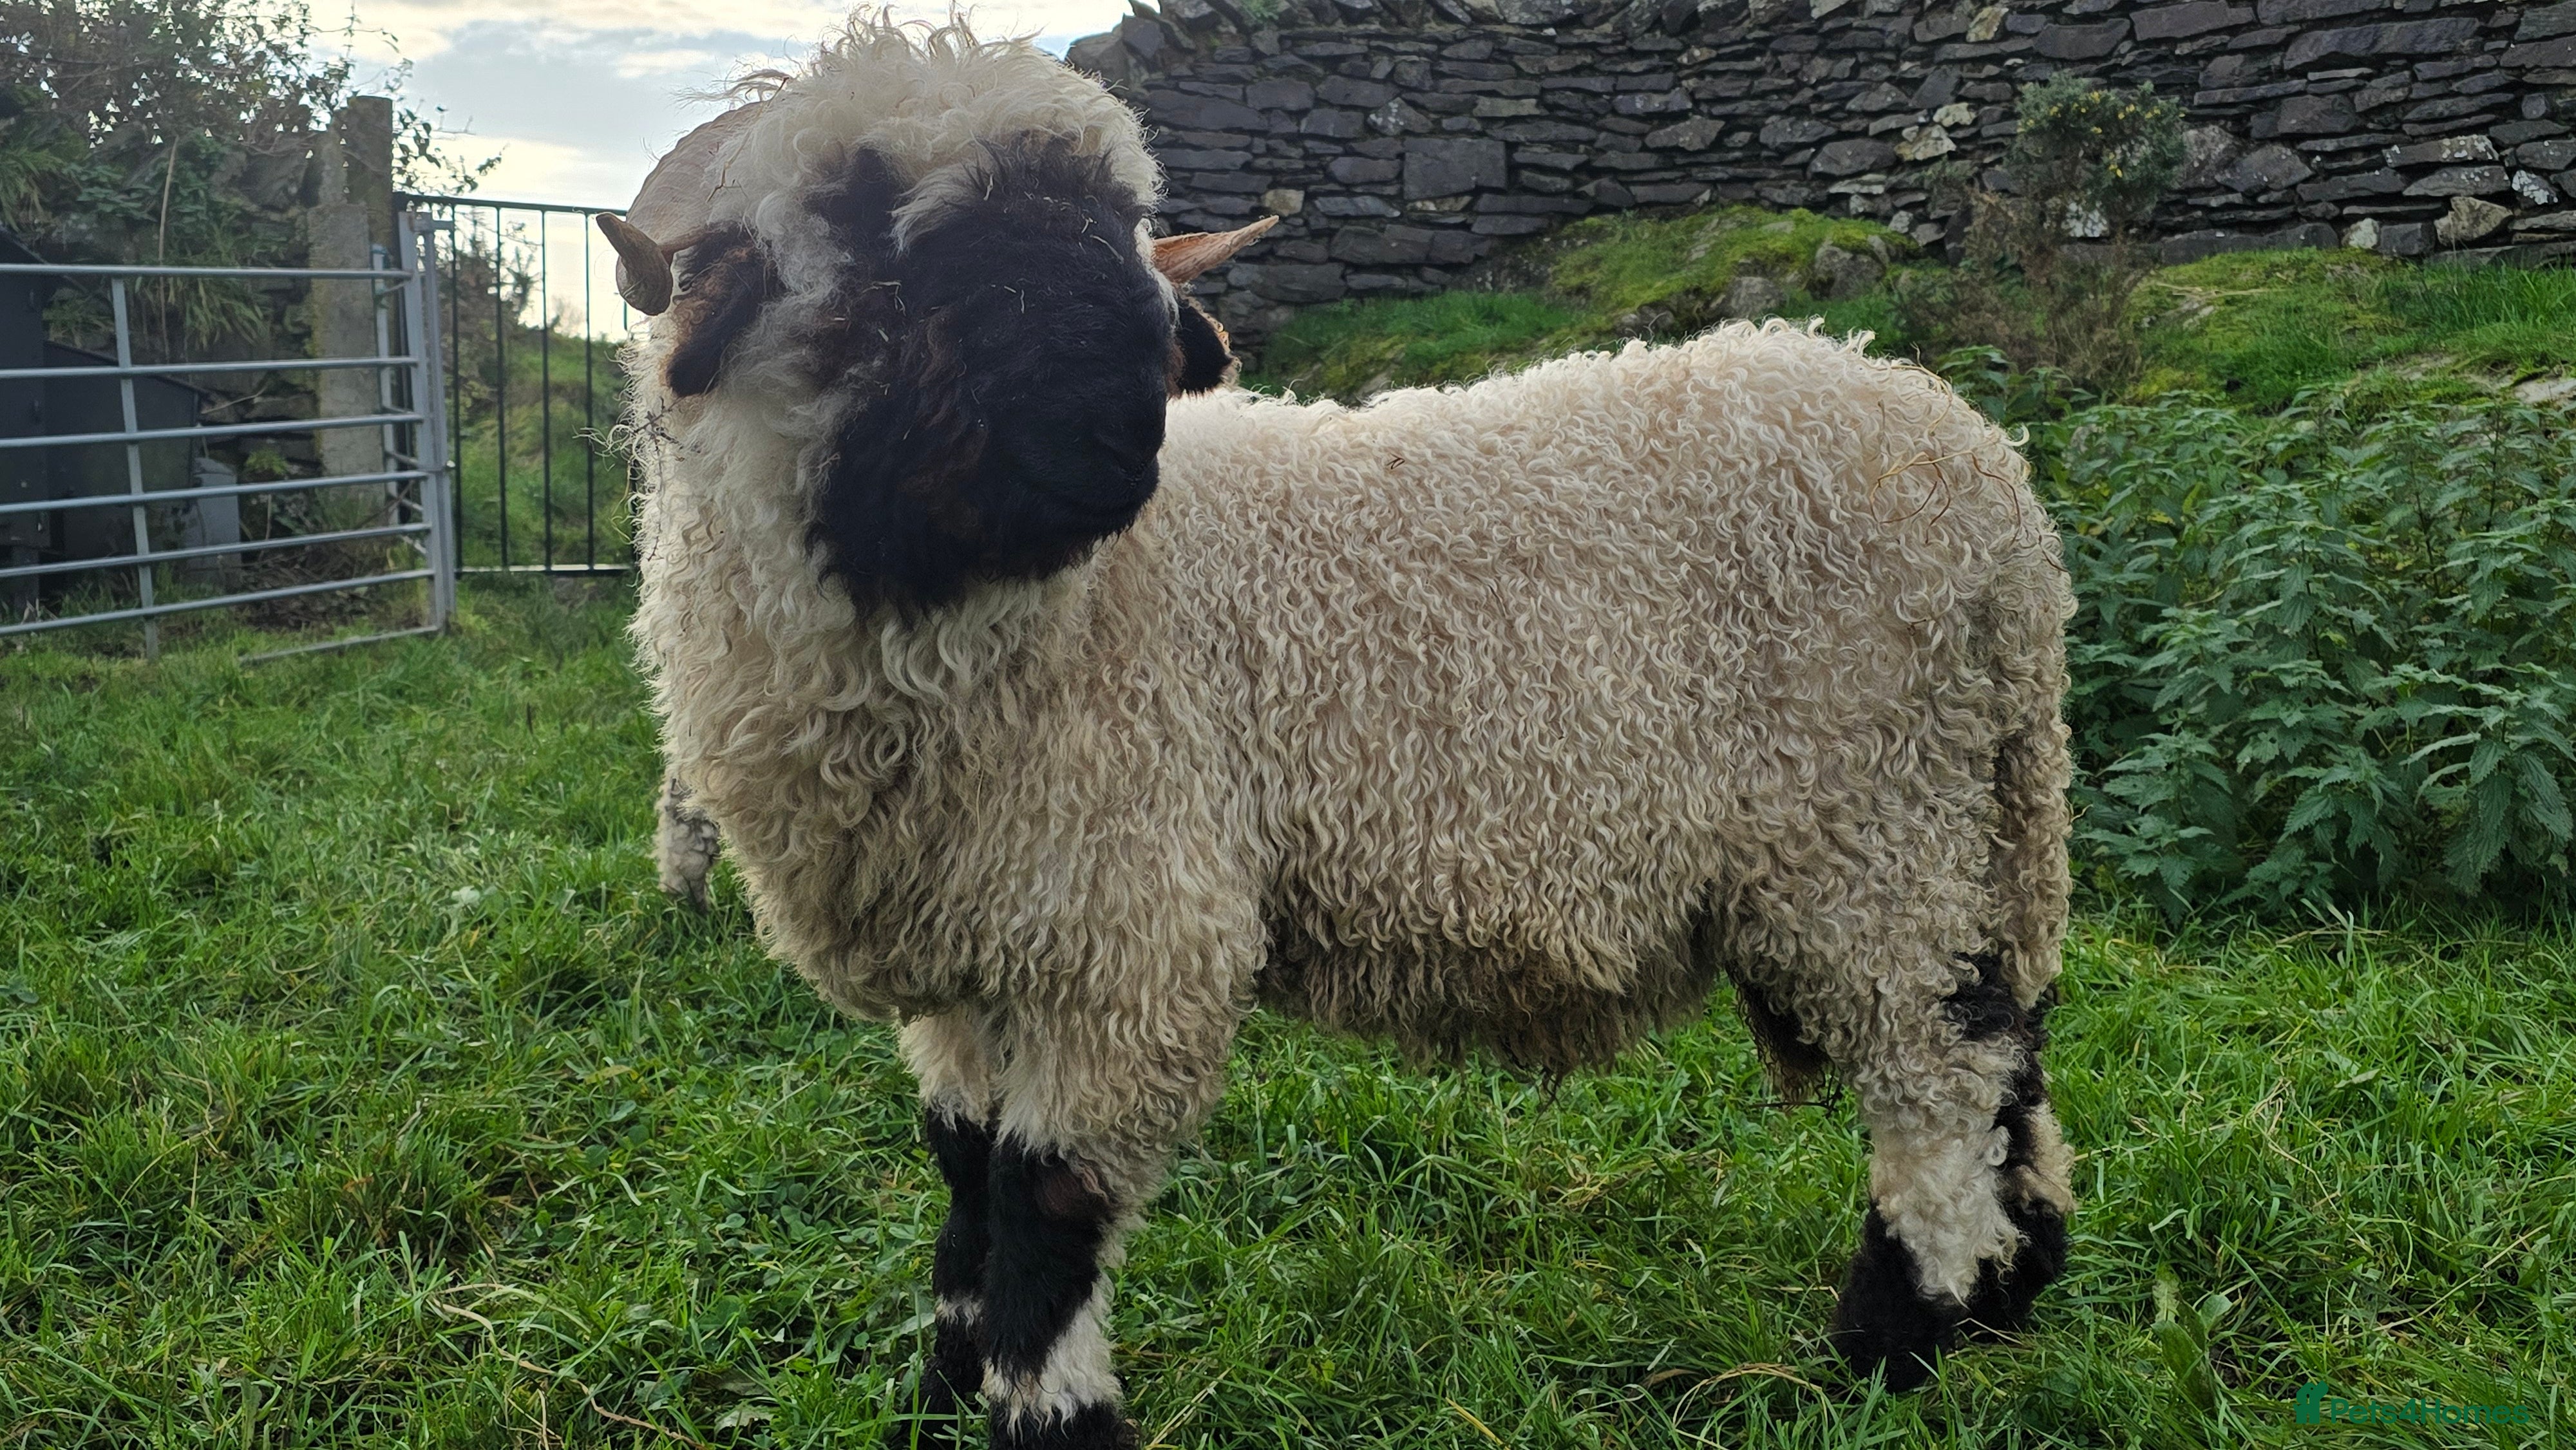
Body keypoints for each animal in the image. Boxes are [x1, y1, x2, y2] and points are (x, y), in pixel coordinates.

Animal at [606, 15, 2078, 1448]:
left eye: (1121, 229)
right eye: (865, 227)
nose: (1112, 424)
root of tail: (1997, 500)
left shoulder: (1129, 931)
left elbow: (1042, 1202)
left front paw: (1049, 1409)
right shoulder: (974, 948)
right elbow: (964, 1169)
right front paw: (944, 1382)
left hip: (1867, 821)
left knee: (1941, 1071)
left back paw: (1893, 1341)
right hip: (1948, 820)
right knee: (2007, 1054)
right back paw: (2012, 1293)